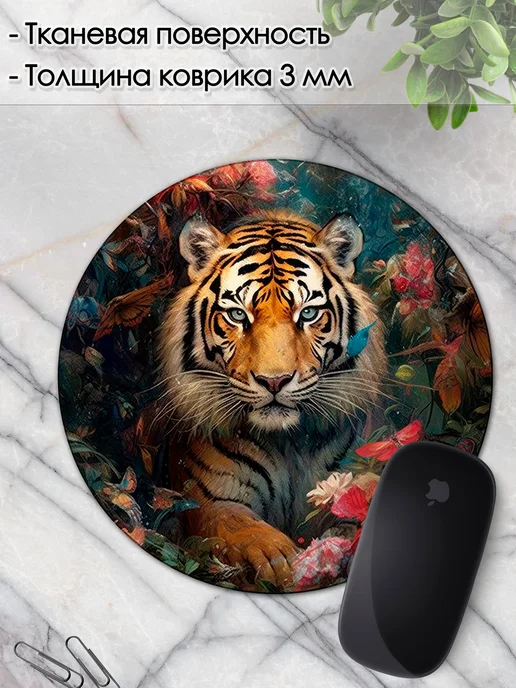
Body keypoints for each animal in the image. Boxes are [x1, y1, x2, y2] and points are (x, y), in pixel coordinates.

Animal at [159, 210, 387, 589]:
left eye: (307, 314)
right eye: (238, 315)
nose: (274, 380)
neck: (288, 443)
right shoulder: (211, 499)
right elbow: (240, 526)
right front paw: (278, 559)